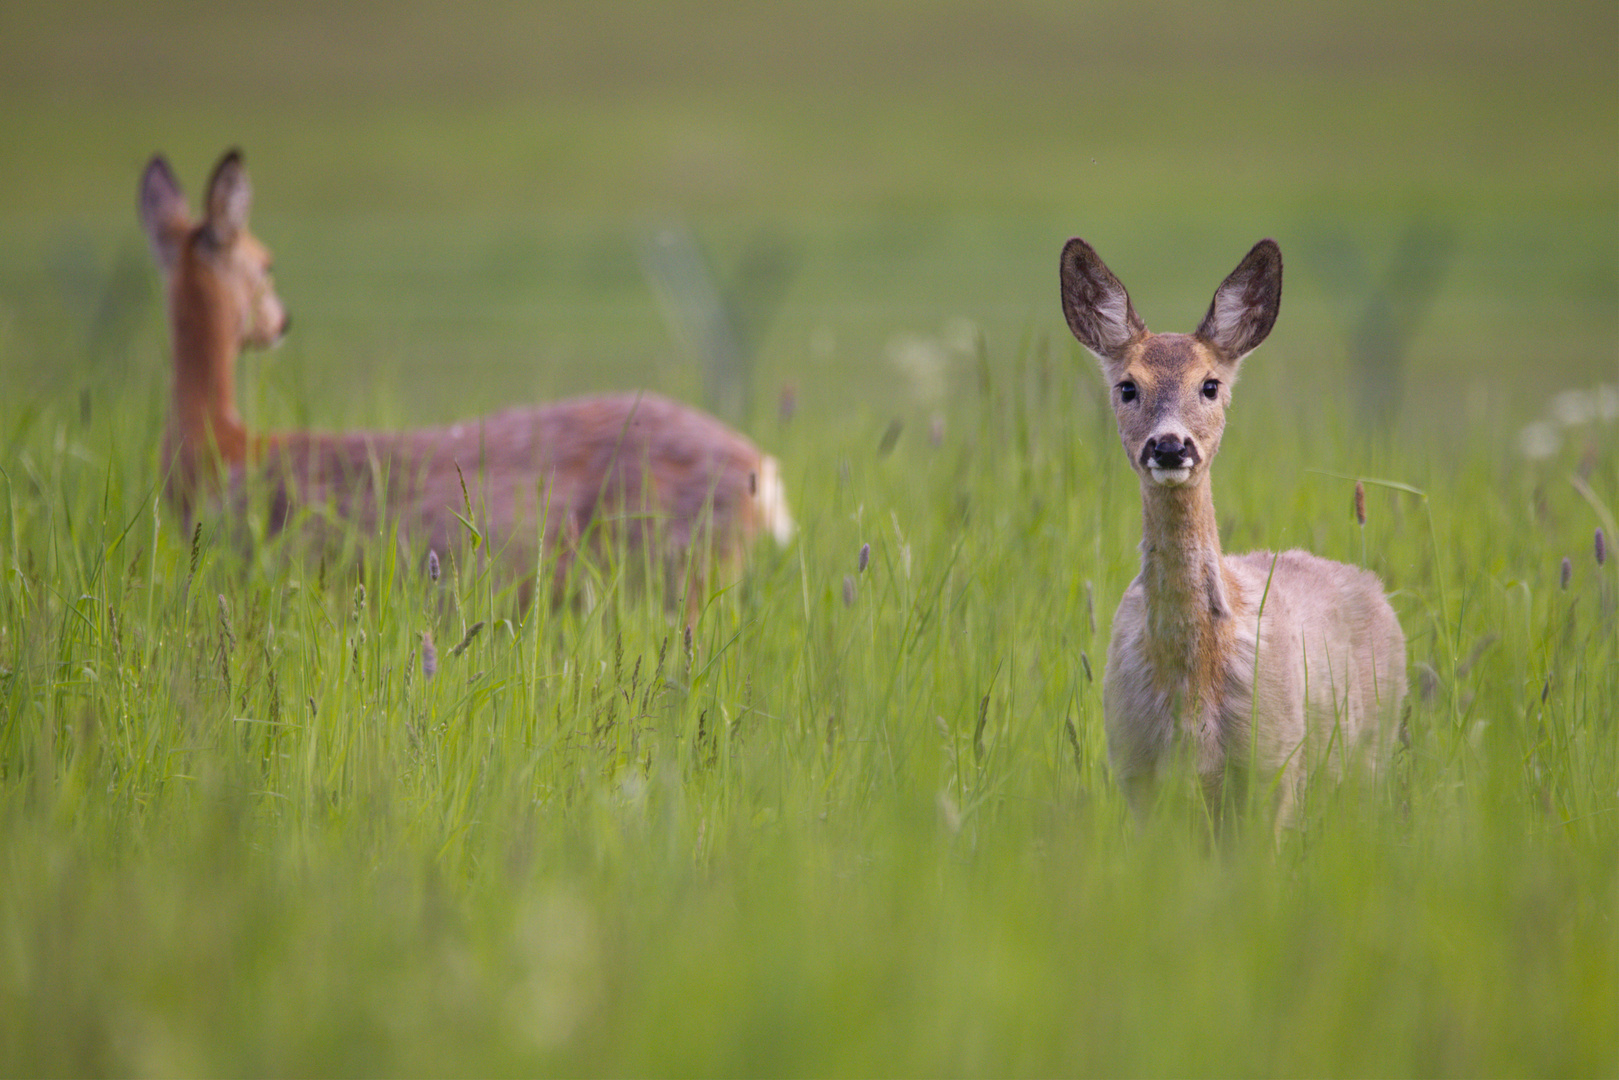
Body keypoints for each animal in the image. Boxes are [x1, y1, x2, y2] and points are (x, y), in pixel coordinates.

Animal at [1062, 234, 1405, 829]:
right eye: (1127, 387)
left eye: (1210, 385)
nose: (1170, 446)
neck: (1191, 686)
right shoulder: (1135, 771)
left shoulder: (1275, 767)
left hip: (1371, 754)